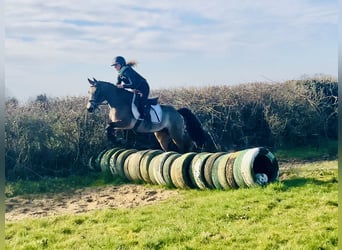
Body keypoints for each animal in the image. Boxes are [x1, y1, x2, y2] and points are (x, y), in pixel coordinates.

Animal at [87, 77, 218, 153]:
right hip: (162, 134)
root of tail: (176, 111)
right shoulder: (121, 125)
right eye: (88, 92)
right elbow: (110, 128)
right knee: (176, 144)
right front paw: (118, 140)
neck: (118, 102)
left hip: (175, 132)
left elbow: (108, 126)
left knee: (183, 144)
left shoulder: (126, 123)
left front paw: (116, 140)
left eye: (97, 91)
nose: (89, 108)